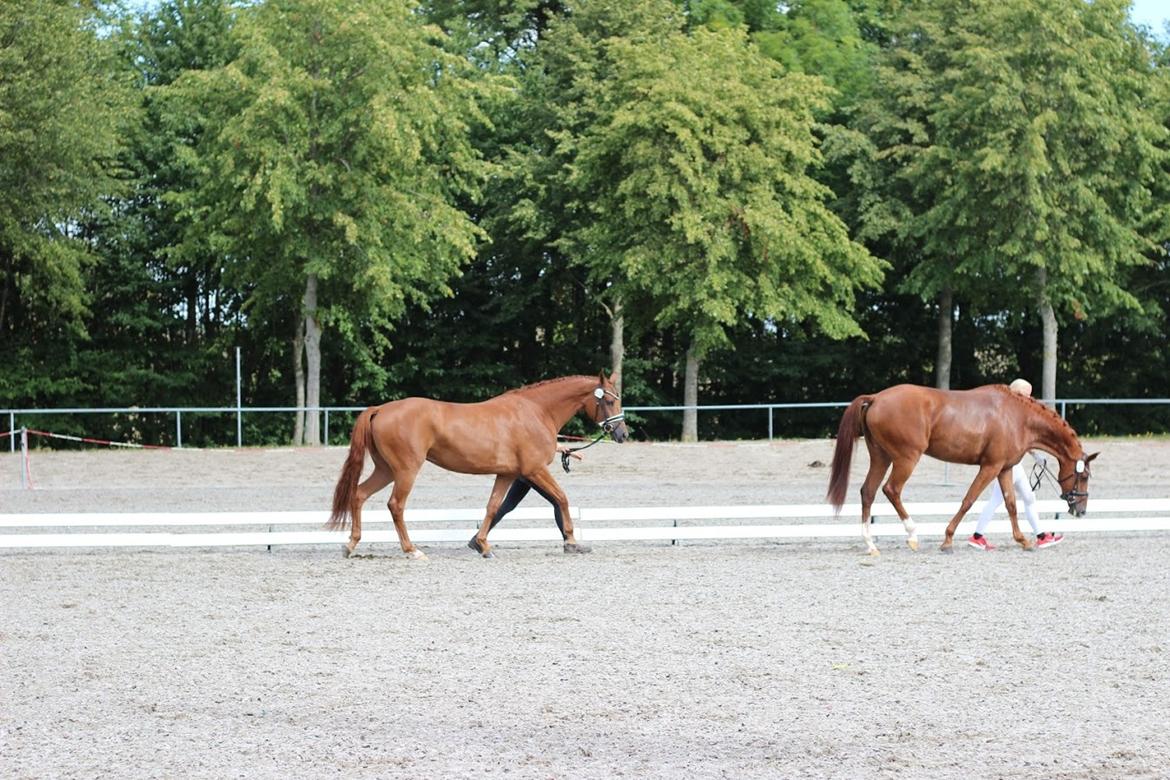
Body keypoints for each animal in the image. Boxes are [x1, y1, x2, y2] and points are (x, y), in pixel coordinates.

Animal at [325, 374, 627, 558]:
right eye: (608, 400)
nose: (622, 434)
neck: (536, 411)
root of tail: (380, 409)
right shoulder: (534, 471)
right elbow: (562, 499)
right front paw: (572, 542)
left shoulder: (506, 474)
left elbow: (493, 507)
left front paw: (482, 545)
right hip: (405, 471)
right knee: (395, 505)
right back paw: (412, 550)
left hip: (386, 470)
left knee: (359, 494)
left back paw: (350, 545)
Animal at [828, 383, 1090, 554]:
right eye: (1084, 475)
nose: (1081, 511)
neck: (1018, 418)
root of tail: (876, 398)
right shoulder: (990, 466)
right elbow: (969, 500)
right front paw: (947, 541)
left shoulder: (1004, 469)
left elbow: (1011, 504)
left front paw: (1023, 541)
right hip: (906, 458)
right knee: (891, 490)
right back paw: (912, 535)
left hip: (881, 458)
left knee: (868, 492)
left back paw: (871, 544)